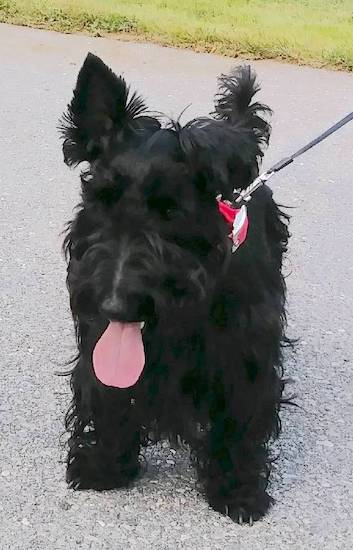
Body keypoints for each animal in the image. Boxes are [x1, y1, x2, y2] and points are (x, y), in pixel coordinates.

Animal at [60, 55, 288, 528]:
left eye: (170, 211)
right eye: (101, 198)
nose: (114, 303)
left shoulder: (246, 355)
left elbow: (241, 418)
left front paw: (238, 488)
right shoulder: (97, 338)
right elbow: (106, 393)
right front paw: (104, 463)